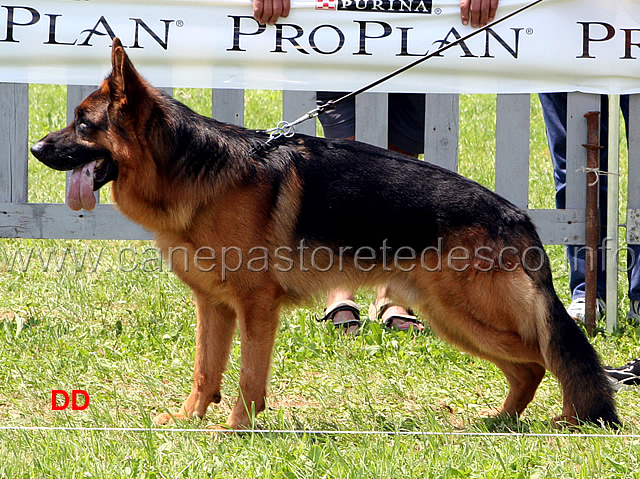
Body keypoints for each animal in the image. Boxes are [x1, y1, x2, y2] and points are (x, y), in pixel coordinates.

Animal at [31, 37, 620, 428]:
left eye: (83, 124)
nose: (36, 148)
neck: (192, 168)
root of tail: (519, 217)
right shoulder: (214, 307)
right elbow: (205, 373)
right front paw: (189, 422)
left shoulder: (256, 306)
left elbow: (248, 379)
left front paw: (234, 433)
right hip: (451, 318)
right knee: (533, 366)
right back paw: (497, 421)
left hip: (465, 313)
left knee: (548, 356)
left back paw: (556, 421)